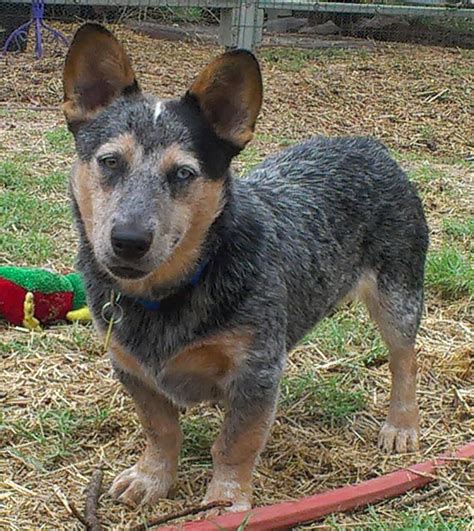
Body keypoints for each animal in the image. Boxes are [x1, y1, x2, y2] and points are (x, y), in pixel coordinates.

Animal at [62, 22, 430, 512]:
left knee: (405, 360)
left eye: (183, 173)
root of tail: (369, 146)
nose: (129, 241)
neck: (174, 291)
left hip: (398, 293)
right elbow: (161, 429)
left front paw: (224, 502)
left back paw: (401, 425)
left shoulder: (256, 371)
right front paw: (151, 477)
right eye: (109, 161)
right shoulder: (131, 368)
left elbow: (236, 442)